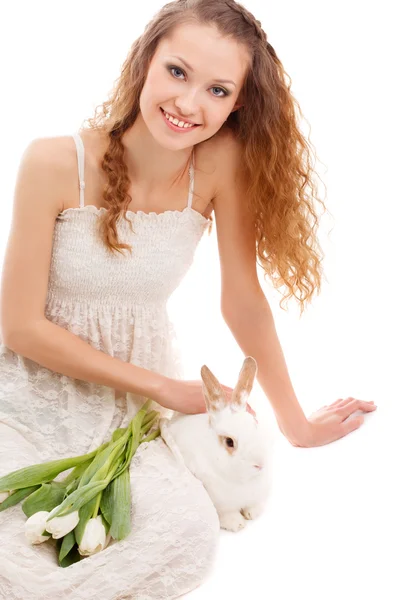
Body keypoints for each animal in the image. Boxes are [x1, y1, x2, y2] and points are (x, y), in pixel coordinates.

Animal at [159, 354, 272, 532]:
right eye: (229, 442)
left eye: (255, 425)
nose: (259, 464)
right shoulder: (221, 503)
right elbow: (228, 514)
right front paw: (237, 524)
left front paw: (253, 513)